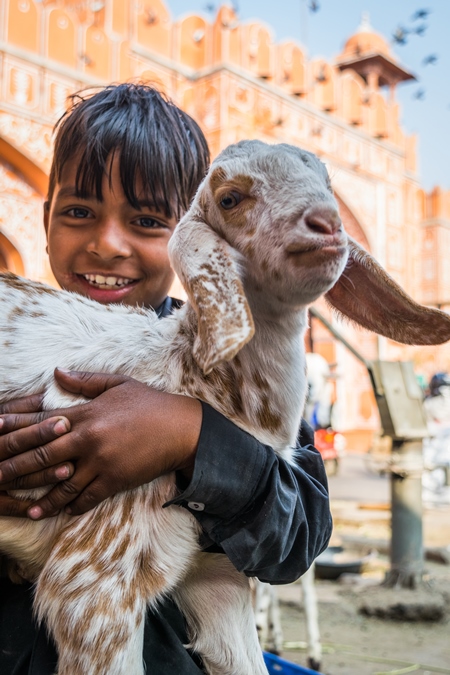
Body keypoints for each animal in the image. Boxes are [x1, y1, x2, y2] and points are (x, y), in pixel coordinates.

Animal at [0, 140, 450, 672]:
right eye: (231, 198)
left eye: (327, 183)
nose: (327, 225)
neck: (191, 376)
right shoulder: (92, 581)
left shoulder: (216, 572)